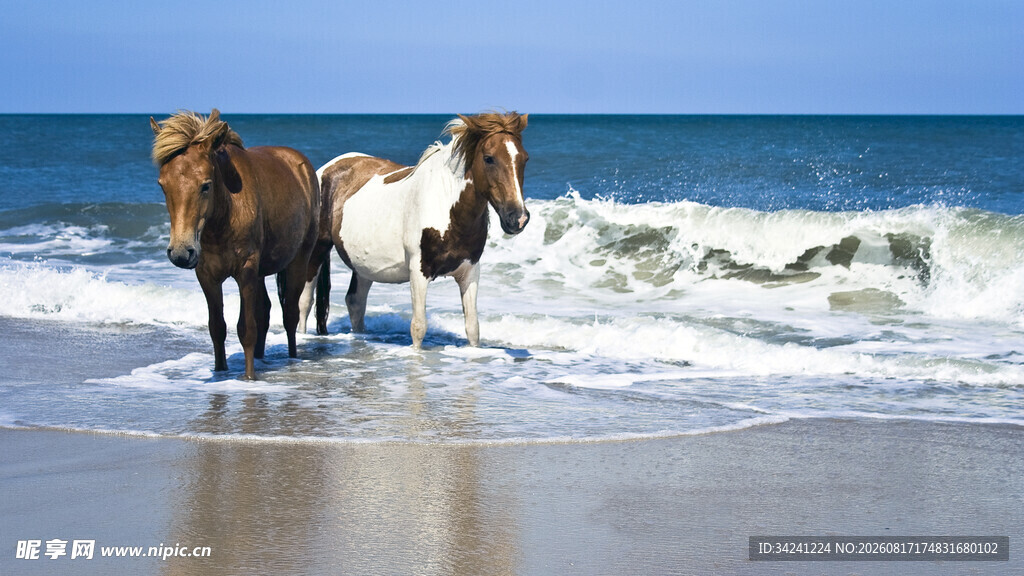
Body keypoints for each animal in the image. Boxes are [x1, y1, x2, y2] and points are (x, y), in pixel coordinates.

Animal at [150, 109, 321, 379]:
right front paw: (220, 371)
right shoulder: (207, 276)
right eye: (163, 185)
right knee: (265, 311)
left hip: (298, 261)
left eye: (206, 185)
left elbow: (246, 328)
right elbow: (217, 327)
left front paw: (249, 377)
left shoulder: (246, 271)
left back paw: (292, 358)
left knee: (290, 314)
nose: (180, 253)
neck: (226, 216)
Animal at [300, 112, 530, 348]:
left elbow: (473, 328)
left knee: (355, 302)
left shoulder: (470, 271)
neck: (445, 206)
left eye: (524, 159)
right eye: (489, 158)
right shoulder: (418, 272)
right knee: (305, 302)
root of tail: (326, 169)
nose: (518, 218)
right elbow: (418, 327)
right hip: (317, 251)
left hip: (363, 265)